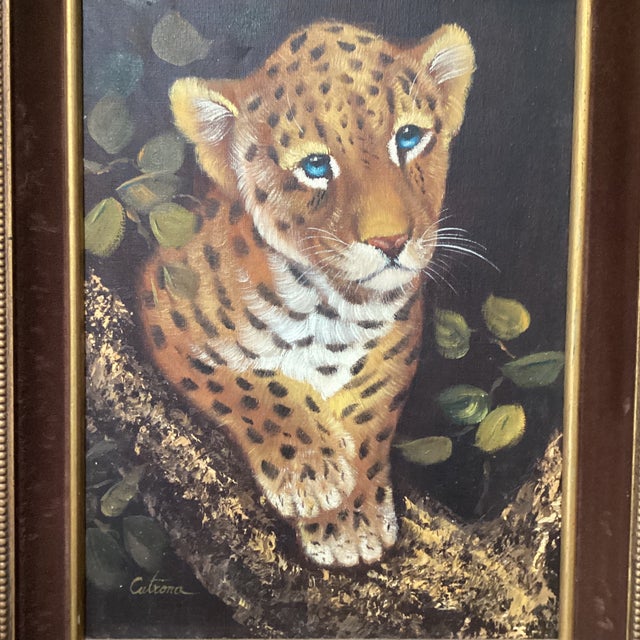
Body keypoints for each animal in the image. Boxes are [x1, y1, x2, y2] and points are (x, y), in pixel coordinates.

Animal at [139, 20, 475, 567]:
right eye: (316, 167)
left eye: (408, 138)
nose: (390, 241)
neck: (334, 306)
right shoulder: (163, 309)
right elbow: (250, 384)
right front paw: (313, 470)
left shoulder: (400, 339)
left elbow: (370, 412)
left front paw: (351, 517)